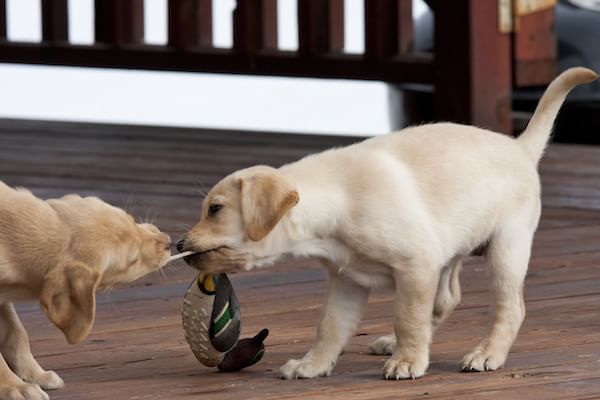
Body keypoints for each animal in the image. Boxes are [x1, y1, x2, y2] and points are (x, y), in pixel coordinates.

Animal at [0, 185, 171, 400]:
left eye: (130, 218)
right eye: (133, 261)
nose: (169, 242)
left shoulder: (3, 298)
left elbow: (16, 332)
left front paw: (35, 375)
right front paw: (15, 386)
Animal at [177, 69, 596, 382]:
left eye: (215, 209)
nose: (179, 244)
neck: (336, 204)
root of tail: (520, 146)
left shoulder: (415, 266)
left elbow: (408, 317)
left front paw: (409, 362)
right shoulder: (346, 282)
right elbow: (330, 327)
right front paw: (312, 364)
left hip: (506, 249)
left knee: (510, 308)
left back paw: (485, 354)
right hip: (450, 250)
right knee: (447, 299)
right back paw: (394, 342)